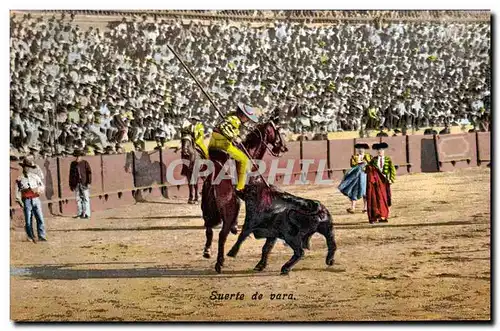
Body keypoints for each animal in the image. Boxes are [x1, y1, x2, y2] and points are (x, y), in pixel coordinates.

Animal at [200, 120, 288, 274]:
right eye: (277, 130)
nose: (284, 147)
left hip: (207, 209)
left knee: (209, 229)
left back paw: (208, 252)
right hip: (229, 209)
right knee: (222, 235)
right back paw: (220, 262)